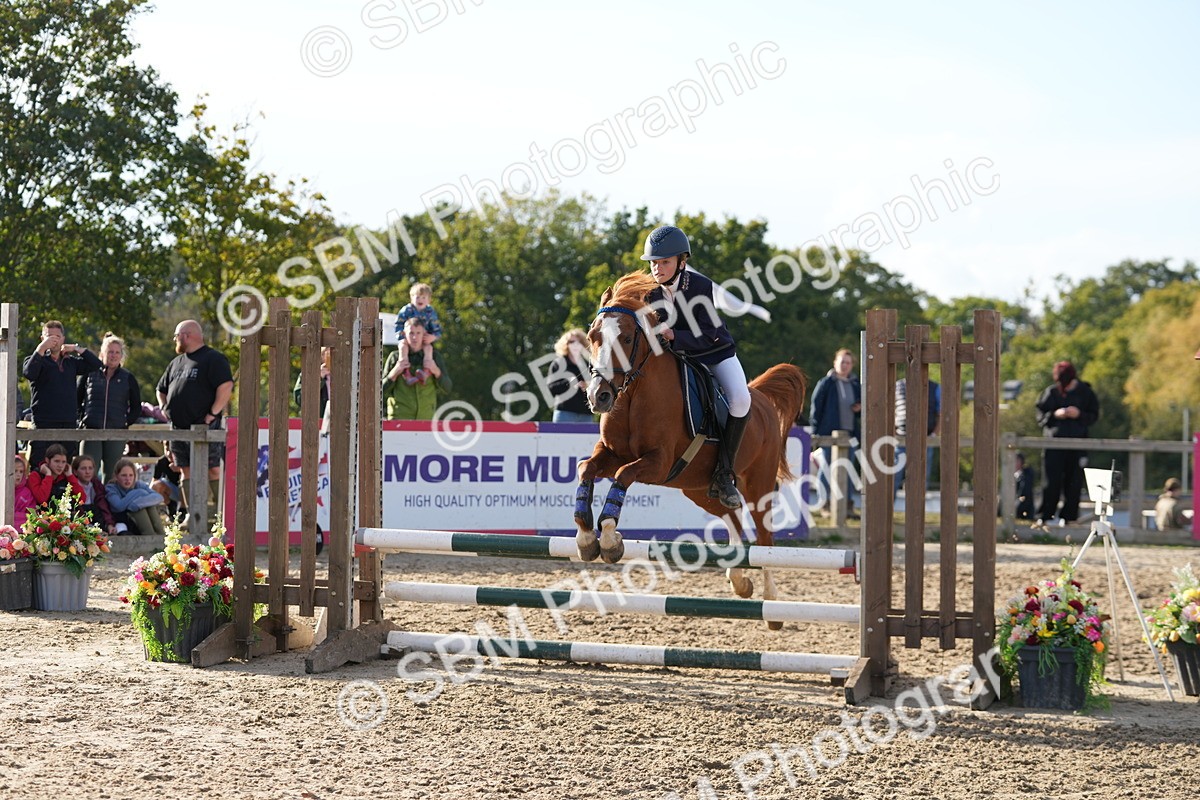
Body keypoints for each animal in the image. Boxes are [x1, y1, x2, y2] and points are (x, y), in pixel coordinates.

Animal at [572, 272, 808, 624]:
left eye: (626, 338)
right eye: (592, 336)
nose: (599, 396)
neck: (634, 395)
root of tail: (761, 397)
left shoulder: (657, 463)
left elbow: (624, 476)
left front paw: (611, 540)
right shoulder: (612, 453)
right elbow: (586, 468)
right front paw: (587, 538)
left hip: (759, 484)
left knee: (765, 538)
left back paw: (772, 607)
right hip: (697, 488)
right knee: (733, 518)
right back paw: (740, 582)